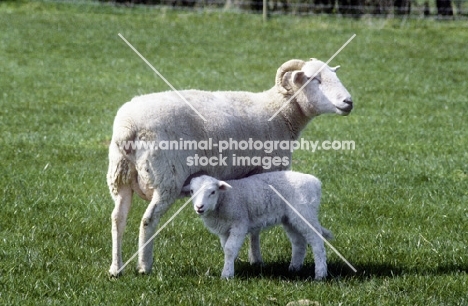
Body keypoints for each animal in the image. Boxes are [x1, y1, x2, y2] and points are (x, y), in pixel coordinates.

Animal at [186, 171, 332, 280]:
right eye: (192, 191)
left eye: (212, 192)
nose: (199, 207)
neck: (224, 199)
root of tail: (315, 182)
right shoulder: (224, 229)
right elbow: (226, 248)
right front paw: (231, 266)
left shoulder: (240, 223)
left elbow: (229, 249)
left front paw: (226, 275)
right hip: (290, 218)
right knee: (299, 243)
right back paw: (294, 268)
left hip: (305, 212)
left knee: (317, 242)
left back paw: (320, 274)